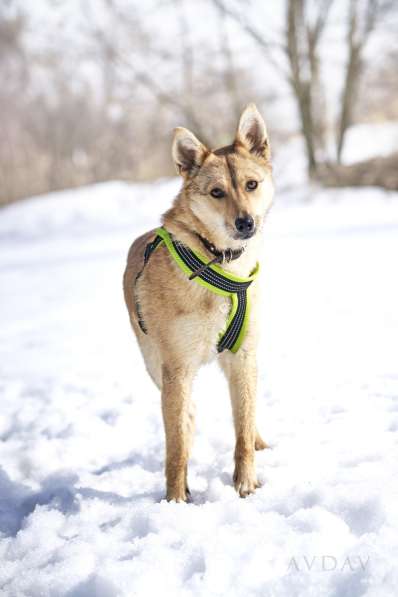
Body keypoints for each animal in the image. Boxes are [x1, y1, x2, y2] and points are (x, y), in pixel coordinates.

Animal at [124, 105, 274, 500]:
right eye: (216, 192)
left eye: (251, 185)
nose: (245, 223)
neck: (219, 263)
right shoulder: (176, 368)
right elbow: (176, 445)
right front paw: (175, 500)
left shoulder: (243, 357)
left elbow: (242, 427)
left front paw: (246, 482)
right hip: (156, 366)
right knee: (185, 419)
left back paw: (259, 442)